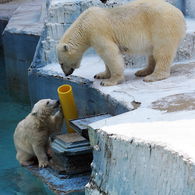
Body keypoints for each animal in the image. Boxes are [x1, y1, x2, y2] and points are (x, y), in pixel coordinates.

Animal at [56, 0, 186, 86]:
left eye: (61, 63)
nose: (66, 74)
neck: (83, 24)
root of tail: (179, 14)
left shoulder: (97, 31)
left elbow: (109, 53)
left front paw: (109, 81)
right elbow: (106, 57)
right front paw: (101, 74)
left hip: (162, 25)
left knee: (162, 51)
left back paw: (153, 76)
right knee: (153, 52)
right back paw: (142, 71)